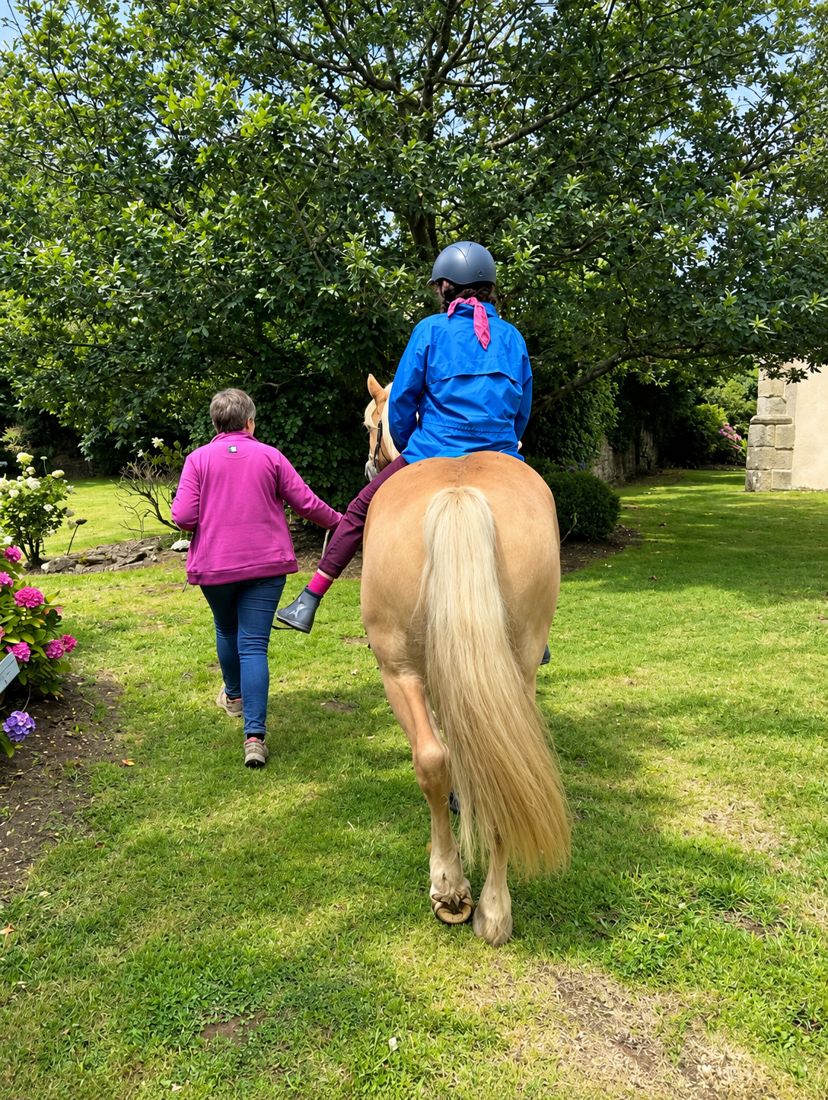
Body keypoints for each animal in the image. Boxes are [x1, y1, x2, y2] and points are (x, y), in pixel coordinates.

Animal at [359, 374, 570, 946]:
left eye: (369, 423)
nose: (368, 464)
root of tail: (459, 493)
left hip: (398, 670)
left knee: (433, 760)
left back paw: (452, 891)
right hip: (517, 669)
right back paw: (493, 910)